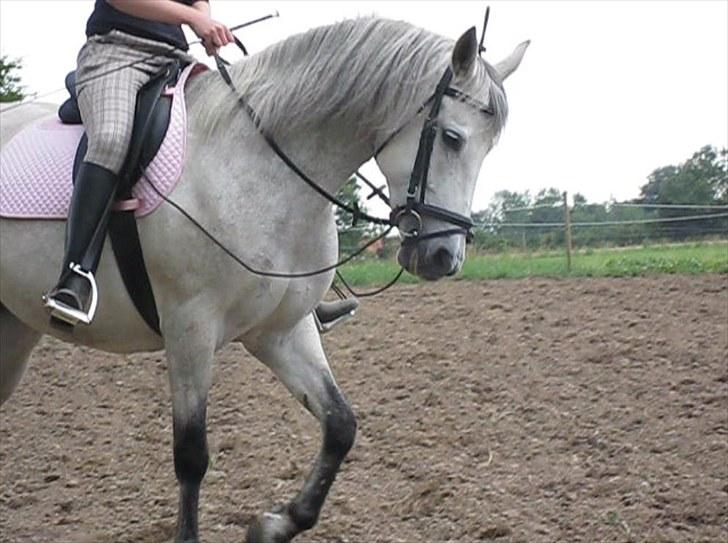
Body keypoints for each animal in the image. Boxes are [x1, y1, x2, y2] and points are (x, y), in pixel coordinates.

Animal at [0, 15, 528, 543]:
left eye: (488, 148)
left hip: (16, 329)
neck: (257, 166)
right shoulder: (189, 329)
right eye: (453, 137)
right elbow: (191, 456)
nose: (443, 257)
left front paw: (273, 525)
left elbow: (340, 424)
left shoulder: (281, 331)